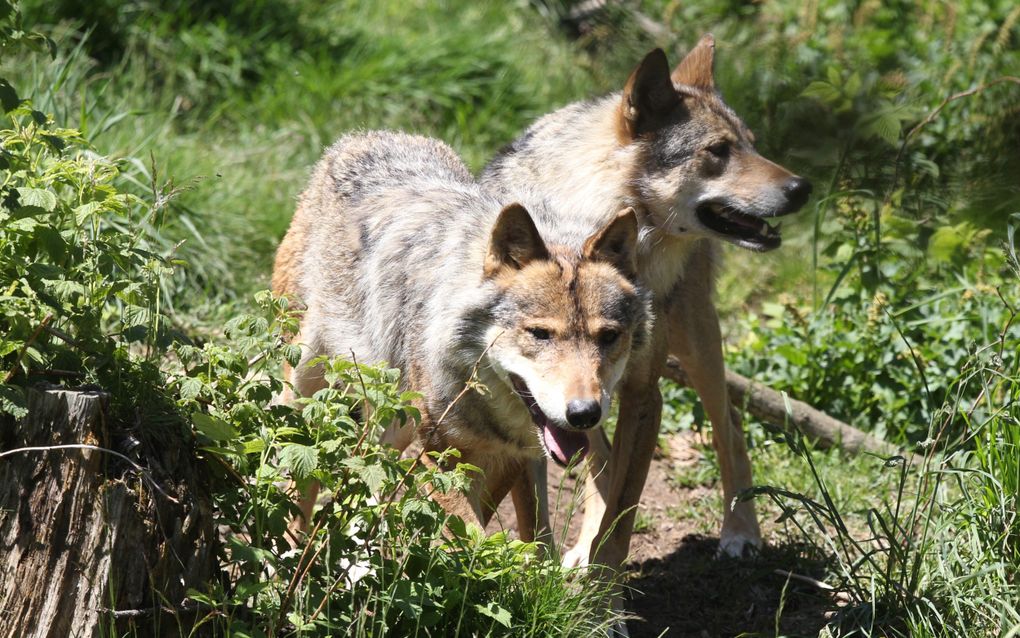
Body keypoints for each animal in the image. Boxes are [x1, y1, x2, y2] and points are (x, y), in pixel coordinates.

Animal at [271, 130, 648, 538]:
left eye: (608, 337)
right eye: (539, 334)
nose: (584, 414)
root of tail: (361, 136)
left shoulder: (510, 458)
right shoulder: (440, 454)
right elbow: (472, 535)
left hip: (393, 423)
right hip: (306, 384)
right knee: (301, 478)